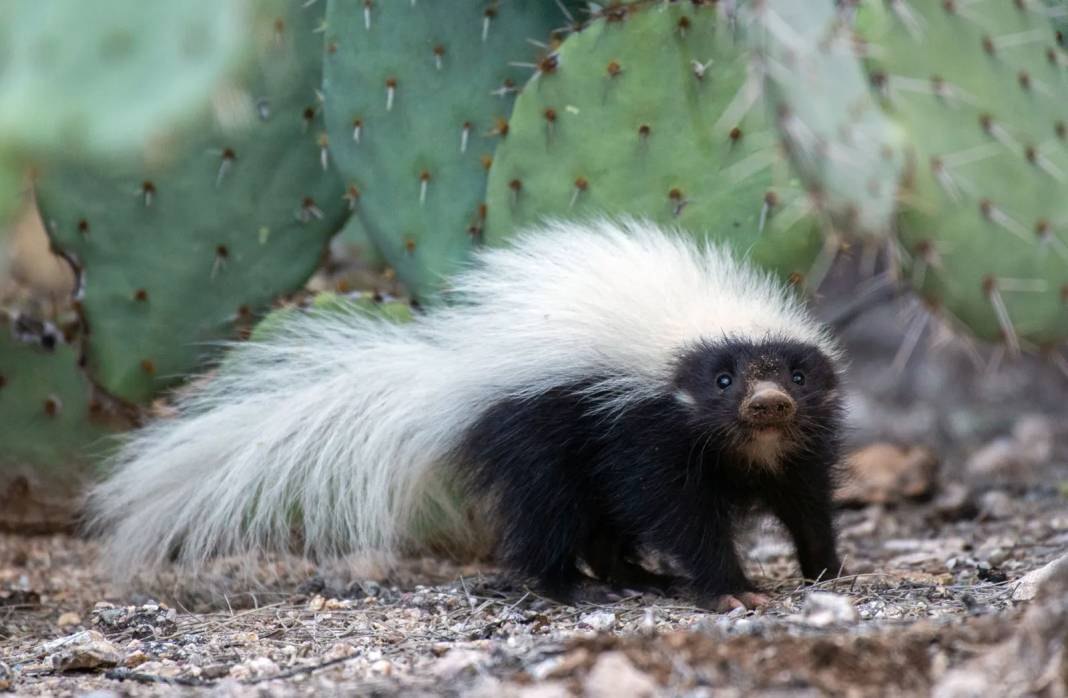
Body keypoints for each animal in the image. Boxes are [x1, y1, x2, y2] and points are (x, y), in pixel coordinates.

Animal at [89, 219, 841, 614]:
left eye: (796, 375)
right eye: (723, 379)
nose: (767, 402)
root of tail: (448, 376)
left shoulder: (799, 442)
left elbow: (806, 499)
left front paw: (825, 568)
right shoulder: (647, 424)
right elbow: (678, 509)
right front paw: (730, 590)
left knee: (597, 518)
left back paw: (633, 576)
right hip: (536, 431)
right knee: (552, 511)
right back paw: (572, 586)